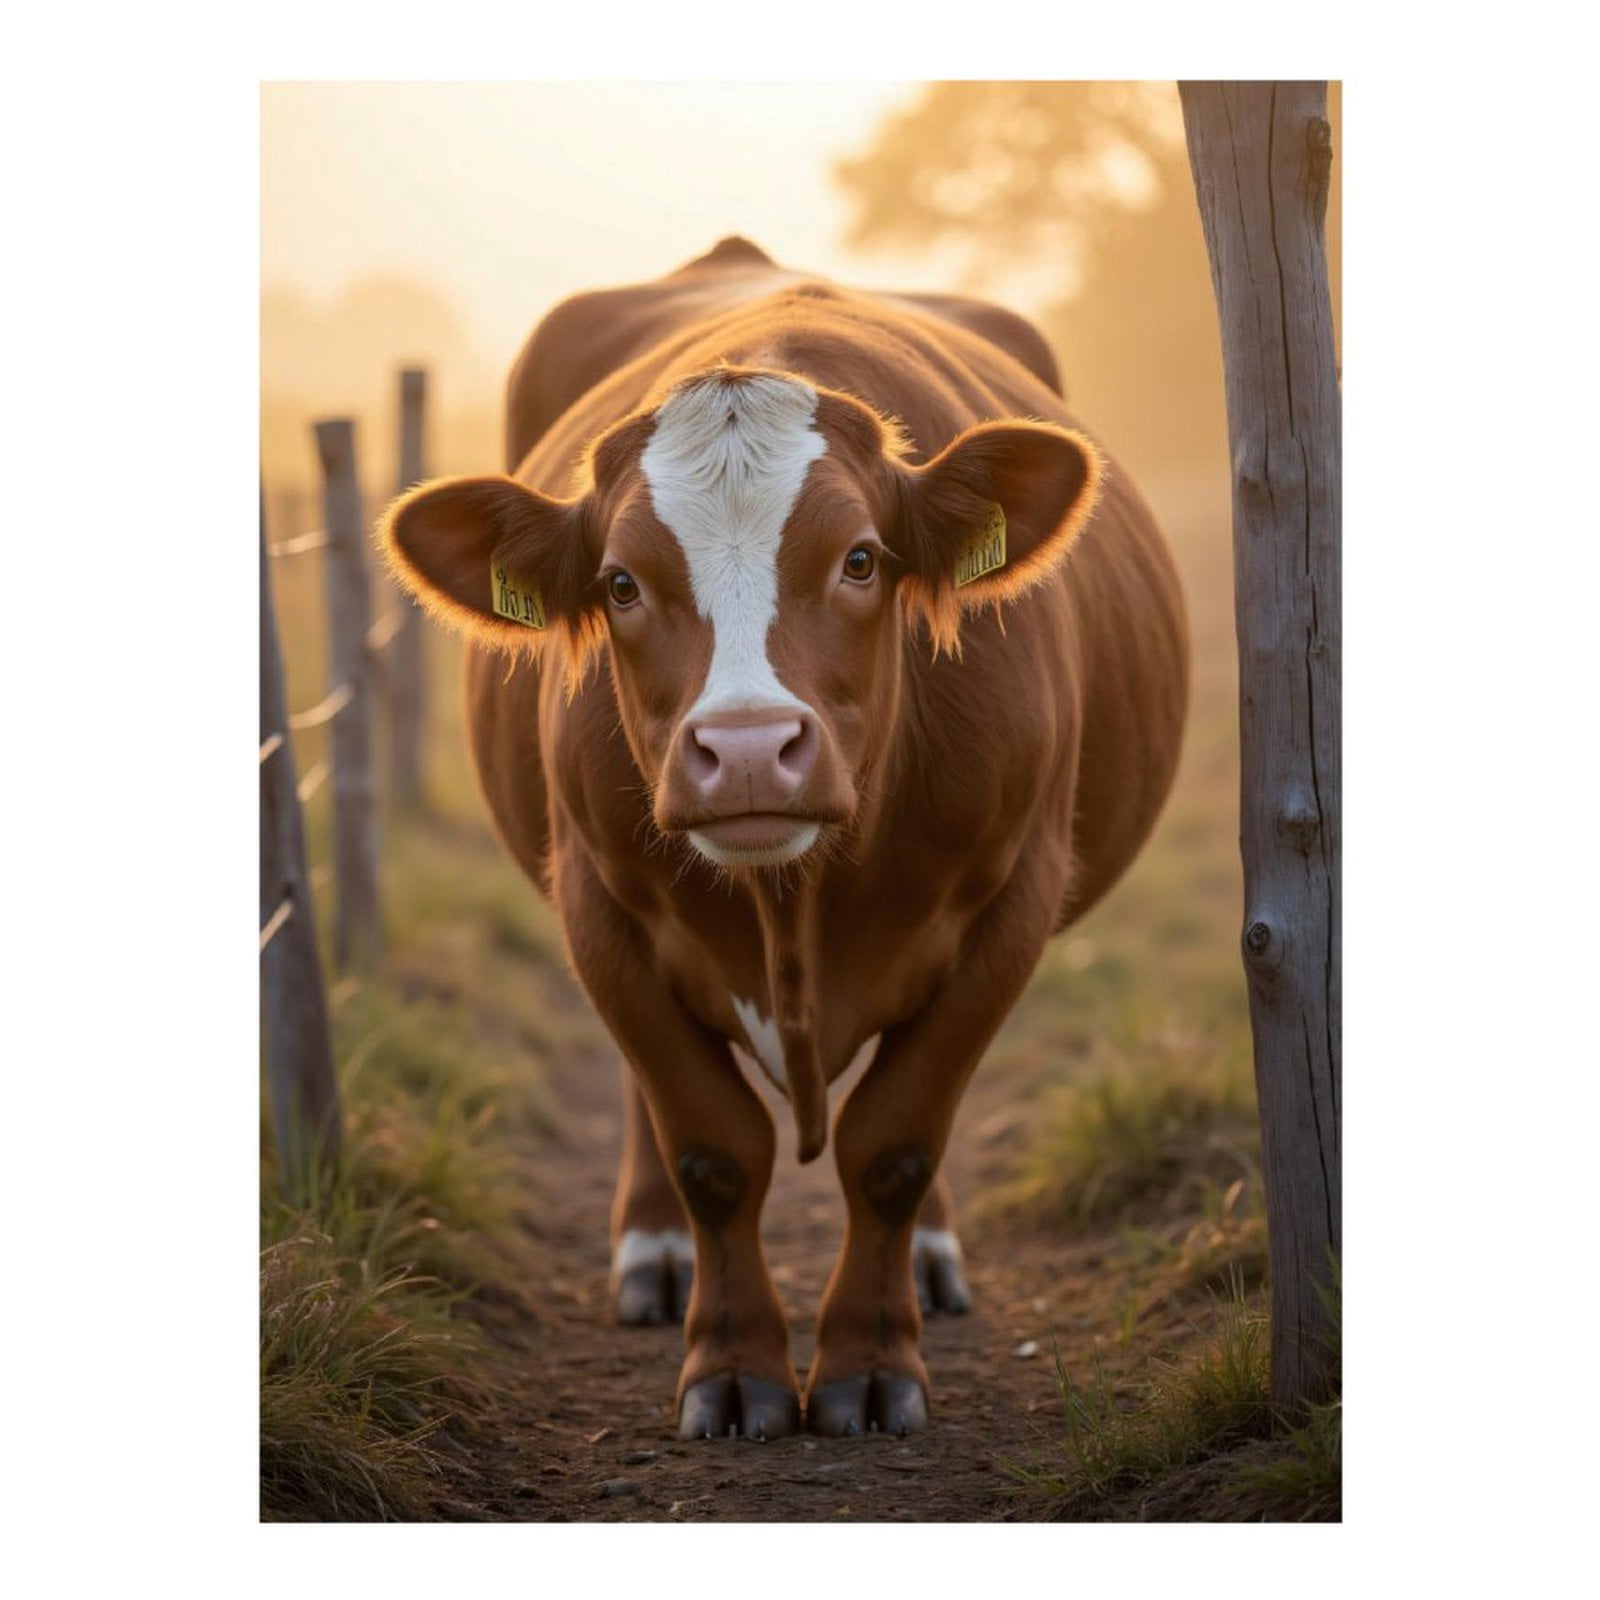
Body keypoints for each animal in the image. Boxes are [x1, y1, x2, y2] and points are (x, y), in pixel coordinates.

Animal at [380, 236, 1188, 1440]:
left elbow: (894, 1141)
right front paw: (731, 1366)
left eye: (861, 560)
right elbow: (714, 1147)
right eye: (620, 582)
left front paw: (869, 1364)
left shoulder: (1014, 901)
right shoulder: (597, 903)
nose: (752, 749)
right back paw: (655, 1253)